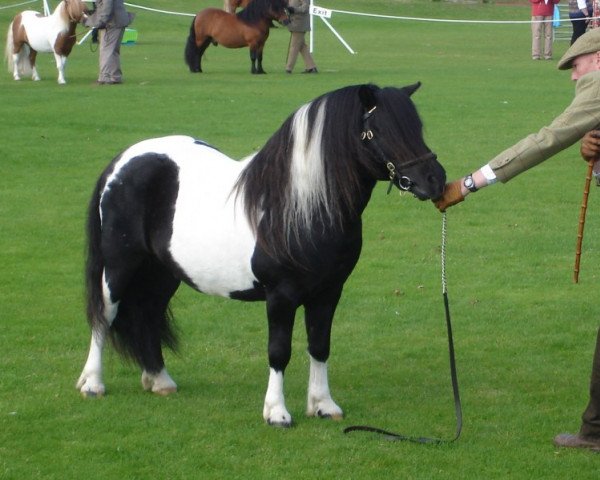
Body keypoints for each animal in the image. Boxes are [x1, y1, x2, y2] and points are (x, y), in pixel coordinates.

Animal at [76, 83, 446, 428]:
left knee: (148, 314)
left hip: (163, 272)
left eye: (417, 126)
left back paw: (159, 380)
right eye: (378, 130)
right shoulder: (280, 296)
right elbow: (279, 352)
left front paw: (323, 405)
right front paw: (277, 413)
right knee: (105, 313)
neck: (299, 206)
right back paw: (93, 384)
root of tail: (122, 161)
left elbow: (319, 346)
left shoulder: (328, 293)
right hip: (120, 265)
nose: (435, 180)